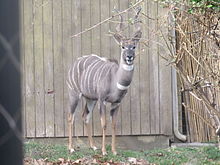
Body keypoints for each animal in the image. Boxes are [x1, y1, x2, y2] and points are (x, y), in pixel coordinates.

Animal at [67, 8, 142, 155]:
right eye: (123, 46)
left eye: (134, 46)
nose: (129, 57)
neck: (115, 81)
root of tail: (75, 63)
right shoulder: (102, 99)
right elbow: (104, 124)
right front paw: (104, 151)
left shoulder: (116, 103)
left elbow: (113, 125)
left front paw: (113, 150)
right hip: (74, 94)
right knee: (71, 117)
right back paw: (71, 148)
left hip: (90, 99)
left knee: (85, 116)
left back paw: (93, 146)